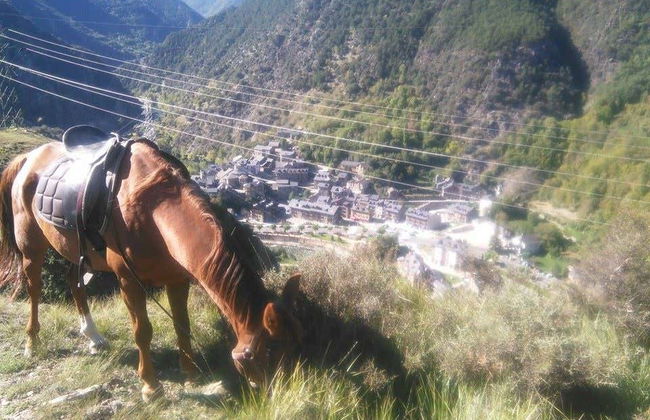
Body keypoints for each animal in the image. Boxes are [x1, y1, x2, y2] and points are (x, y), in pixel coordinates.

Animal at [0, 138, 303, 401]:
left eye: (292, 344)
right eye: (268, 352)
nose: (283, 395)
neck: (153, 211)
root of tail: (29, 157)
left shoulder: (177, 279)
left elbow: (183, 325)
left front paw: (190, 375)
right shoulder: (128, 282)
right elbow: (142, 331)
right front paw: (150, 386)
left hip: (74, 248)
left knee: (74, 283)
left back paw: (94, 337)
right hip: (31, 246)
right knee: (34, 288)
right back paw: (32, 343)